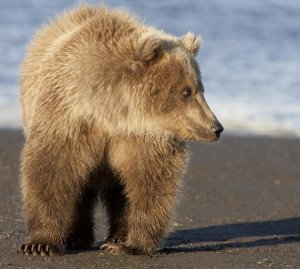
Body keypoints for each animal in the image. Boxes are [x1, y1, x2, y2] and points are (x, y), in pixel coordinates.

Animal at [18, 5, 223, 254]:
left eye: (201, 88)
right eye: (186, 91)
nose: (216, 127)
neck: (113, 113)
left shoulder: (143, 137)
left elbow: (151, 182)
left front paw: (131, 244)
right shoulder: (67, 116)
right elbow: (51, 170)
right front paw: (39, 244)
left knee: (119, 190)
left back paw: (116, 237)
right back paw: (75, 236)